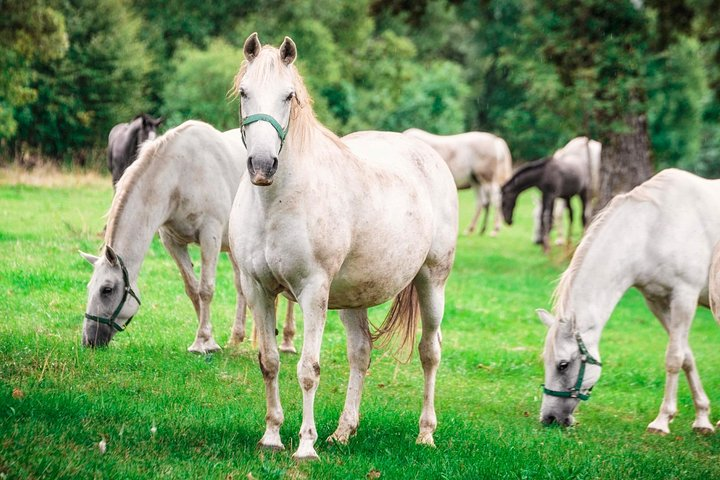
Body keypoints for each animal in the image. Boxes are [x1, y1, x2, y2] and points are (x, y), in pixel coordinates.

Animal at [83, 119, 296, 352]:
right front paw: (205, 338)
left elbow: (206, 289)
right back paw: (237, 338)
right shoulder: (172, 241)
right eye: (89, 287)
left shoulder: (209, 236)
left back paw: (287, 341)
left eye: (107, 289)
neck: (180, 175)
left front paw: (206, 341)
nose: (89, 340)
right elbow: (193, 289)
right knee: (242, 287)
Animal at [228, 31, 458, 460]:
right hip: (354, 297)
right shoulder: (257, 289)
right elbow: (269, 361)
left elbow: (308, 369)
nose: (263, 166)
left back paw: (426, 433)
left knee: (430, 351)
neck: (276, 202)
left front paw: (305, 446)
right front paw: (272, 436)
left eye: (288, 96)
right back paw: (343, 431)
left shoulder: (312, 292)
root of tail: (427, 155)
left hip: (432, 281)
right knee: (361, 353)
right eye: (244, 92)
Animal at [540, 169, 720, 436]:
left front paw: (662, 420)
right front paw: (702, 418)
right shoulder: (657, 301)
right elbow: (687, 357)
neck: (653, 227)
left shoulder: (683, 298)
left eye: (563, 365)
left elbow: (674, 358)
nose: (549, 418)